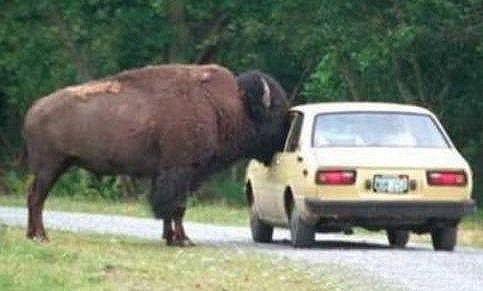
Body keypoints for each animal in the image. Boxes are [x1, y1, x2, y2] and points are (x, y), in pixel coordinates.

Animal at [23, 64, 288, 246]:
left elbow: (172, 210)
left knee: (33, 196)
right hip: (50, 167)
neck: (225, 107)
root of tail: (34, 109)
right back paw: (41, 236)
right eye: (275, 111)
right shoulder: (182, 172)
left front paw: (171, 237)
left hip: (56, 166)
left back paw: (32, 235)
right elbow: (177, 207)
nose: (285, 139)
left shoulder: (168, 175)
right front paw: (183, 241)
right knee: (37, 198)